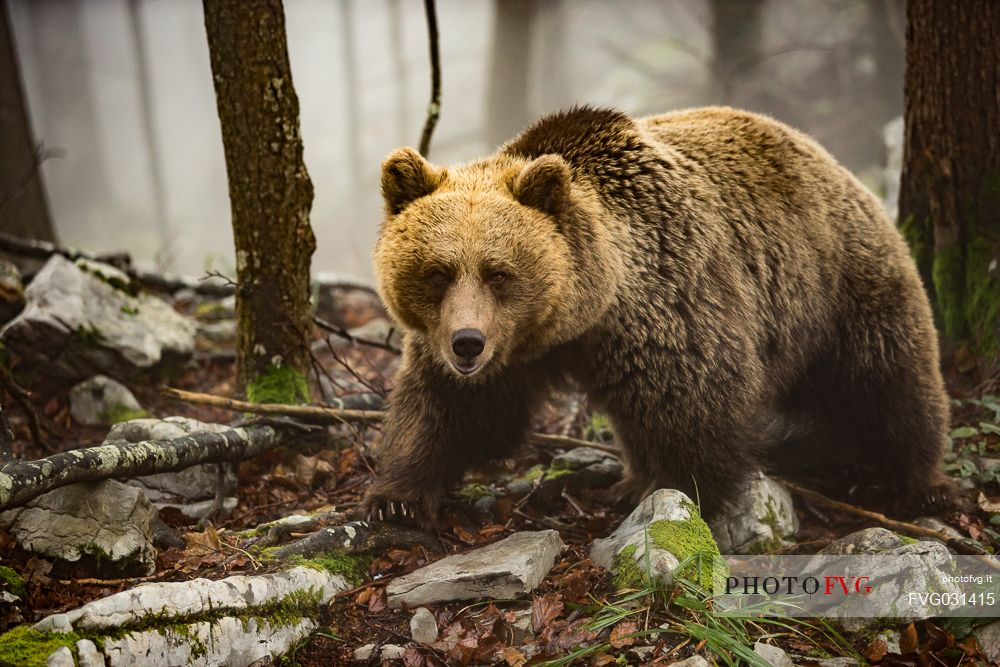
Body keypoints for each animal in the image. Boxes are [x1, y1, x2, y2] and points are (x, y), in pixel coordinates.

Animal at [362, 107, 952, 528]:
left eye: (498, 272)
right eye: (438, 271)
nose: (468, 342)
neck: (582, 313)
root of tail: (831, 160)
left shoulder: (670, 300)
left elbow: (693, 403)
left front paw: (678, 490)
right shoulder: (505, 350)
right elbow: (454, 409)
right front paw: (396, 497)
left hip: (841, 282)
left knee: (889, 377)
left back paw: (921, 483)